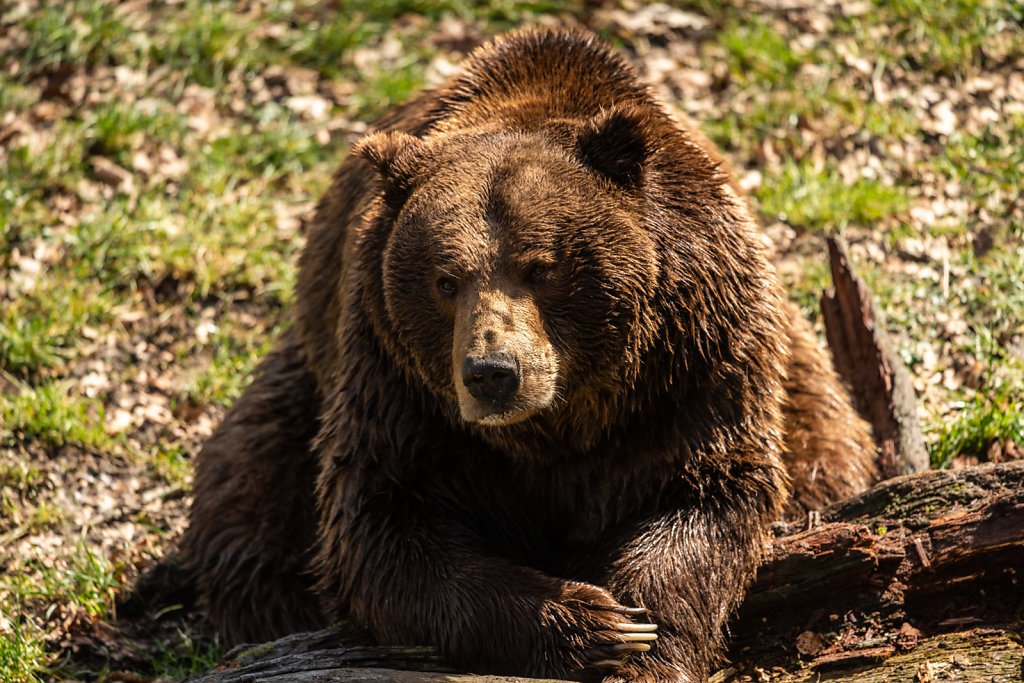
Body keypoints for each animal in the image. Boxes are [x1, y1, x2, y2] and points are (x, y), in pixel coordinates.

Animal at [180, 28, 876, 683]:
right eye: (446, 280)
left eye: (541, 268)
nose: (493, 375)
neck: (563, 423)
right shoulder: (398, 388)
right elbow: (381, 526)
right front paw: (588, 623)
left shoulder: (695, 364)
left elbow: (707, 494)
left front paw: (640, 640)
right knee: (248, 505)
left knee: (827, 450)